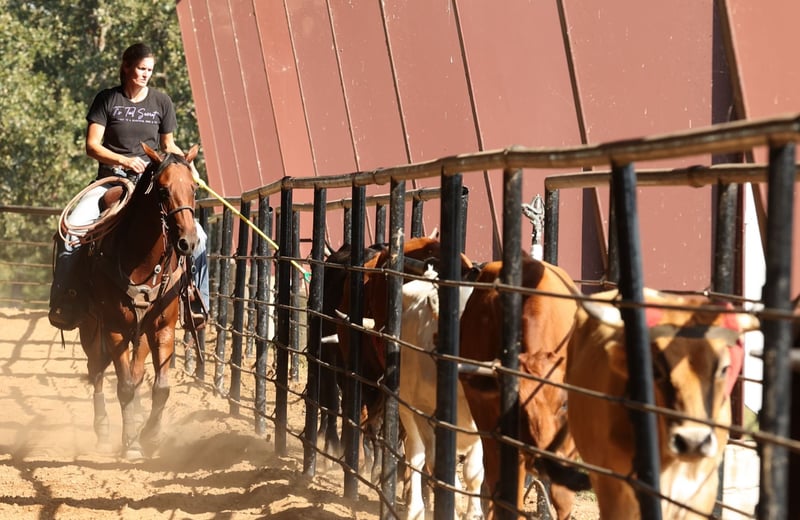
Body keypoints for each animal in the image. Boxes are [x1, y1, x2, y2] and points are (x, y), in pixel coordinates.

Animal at [78, 143, 200, 459]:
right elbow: (124, 386)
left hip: (141, 332)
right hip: (90, 327)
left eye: (194, 187)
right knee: (97, 369)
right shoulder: (114, 328)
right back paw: (104, 431)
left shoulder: (162, 328)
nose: (188, 242)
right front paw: (131, 441)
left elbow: (160, 387)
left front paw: (150, 436)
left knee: (136, 372)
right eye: (163, 190)